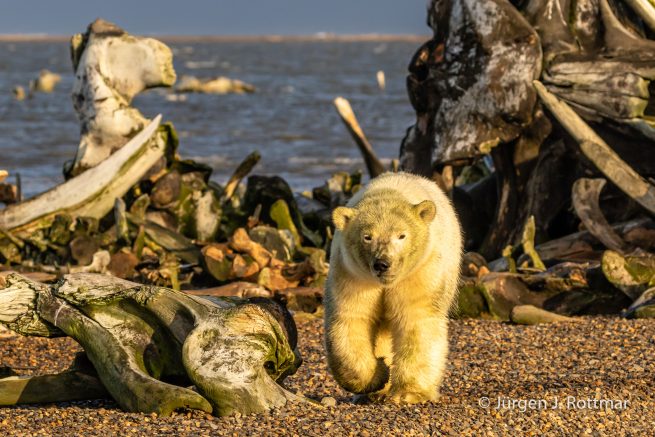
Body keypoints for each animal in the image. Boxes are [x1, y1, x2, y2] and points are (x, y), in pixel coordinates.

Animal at [324, 171, 462, 404]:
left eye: (402, 235)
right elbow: (352, 318)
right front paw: (377, 375)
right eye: (367, 236)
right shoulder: (352, 274)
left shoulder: (420, 272)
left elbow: (416, 320)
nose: (382, 263)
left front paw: (408, 393)